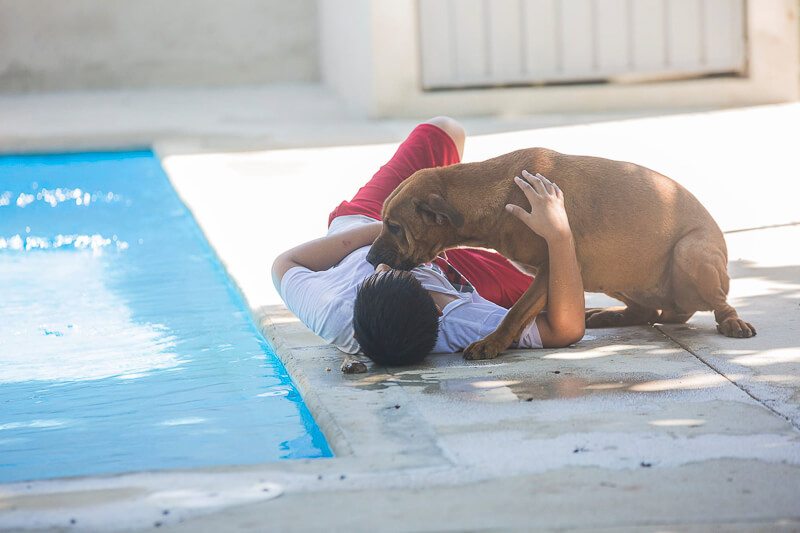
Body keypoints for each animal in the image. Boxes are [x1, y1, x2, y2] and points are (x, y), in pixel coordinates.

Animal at [366, 148, 752, 360]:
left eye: (395, 226)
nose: (369, 260)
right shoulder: (551, 271)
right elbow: (522, 311)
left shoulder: (552, 265)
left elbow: (515, 312)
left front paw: (492, 342)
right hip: (608, 273)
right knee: (649, 312)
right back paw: (608, 315)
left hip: (690, 252)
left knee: (715, 303)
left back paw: (731, 321)